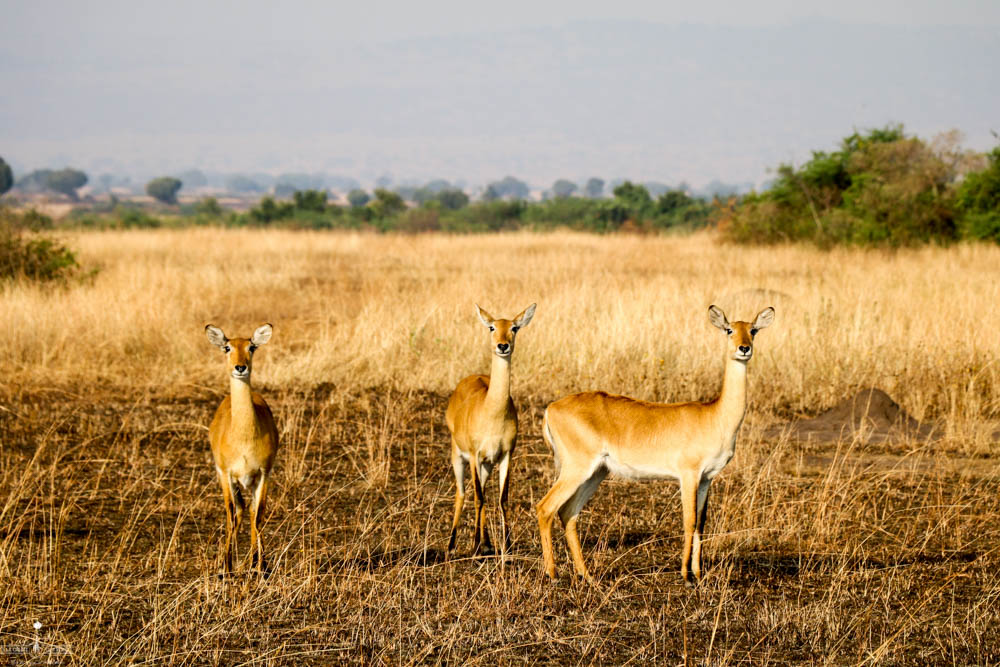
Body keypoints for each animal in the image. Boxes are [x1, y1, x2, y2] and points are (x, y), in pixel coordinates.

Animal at [205, 324, 280, 576]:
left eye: (252, 347)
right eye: (227, 347)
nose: (240, 367)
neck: (245, 437)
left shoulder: (263, 473)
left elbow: (258, 516)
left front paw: (259, 568)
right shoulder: (226, 474)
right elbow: (231, 514)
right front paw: (225, 568)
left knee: (250, 511)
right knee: (237, 511)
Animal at [448, 306, 536, 556]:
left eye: (514, 327)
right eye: (491, 327)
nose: (502, 346)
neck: (493, 413)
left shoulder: (506, 455)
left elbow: (502, 498)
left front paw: (506, 545)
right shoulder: (475, 455)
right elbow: (478, 498)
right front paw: (474, 548)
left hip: (487, 464)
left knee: (485, 492)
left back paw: (486, 544)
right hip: (459, 457)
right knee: (462, 493)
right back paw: (453, 546)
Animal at [536, 306, 776, 580]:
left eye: (753, 330)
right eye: (729, 330)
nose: (744, 348)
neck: (715, 416)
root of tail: (551, 408)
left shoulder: (707, 478)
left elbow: (701, 524)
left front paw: (698, 574)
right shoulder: (688, 475)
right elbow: (689, 520)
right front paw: (685, 575)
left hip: (596, 473)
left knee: (568, 513)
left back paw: (587, 576)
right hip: (577, 468)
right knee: (545, 508)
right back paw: (553, 574)